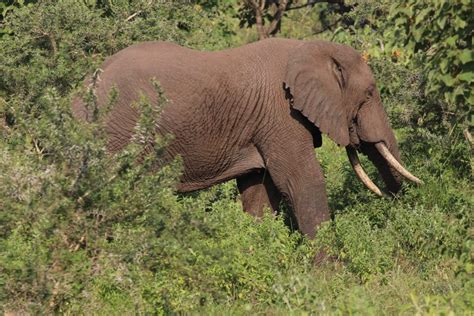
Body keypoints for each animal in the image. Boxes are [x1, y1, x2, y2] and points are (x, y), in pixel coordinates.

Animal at [74, 39, 422, 237]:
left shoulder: (261, 125)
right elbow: (302, 180)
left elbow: (258, 192)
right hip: (119, 131)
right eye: (370, 94)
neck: (313, 48)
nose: (391, 201)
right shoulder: (281, 115)